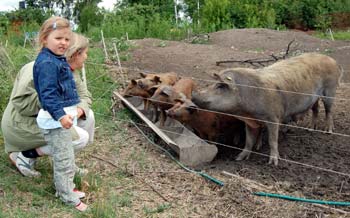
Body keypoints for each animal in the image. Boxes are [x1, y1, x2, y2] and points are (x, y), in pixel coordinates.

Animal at [191, 52, 342, 165]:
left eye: (220, 86)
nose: (193, 95)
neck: (246, 112)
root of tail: (333, 60)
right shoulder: (250, 122)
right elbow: (248, 141)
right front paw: (239, 158)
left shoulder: (273, 117)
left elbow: (272, 140)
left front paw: (273, 162)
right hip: (315, 98)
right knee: (315, 108)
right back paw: (310, 128)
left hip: (330, 90)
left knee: (329, 110)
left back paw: (328, 131)